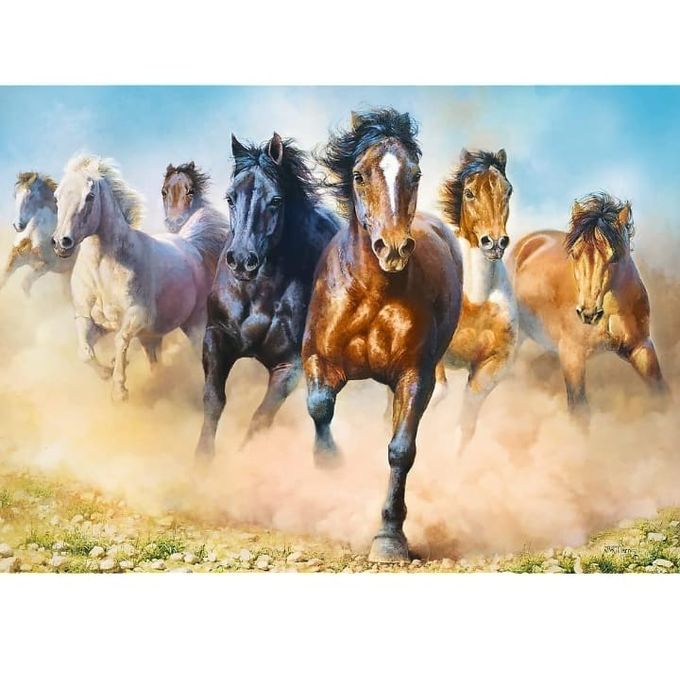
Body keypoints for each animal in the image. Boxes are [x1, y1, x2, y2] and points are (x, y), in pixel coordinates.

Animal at [51, 154, 227, 401]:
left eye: (90, 196)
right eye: (56, 197)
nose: (61, 242)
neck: (101, 271)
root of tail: (188, 242)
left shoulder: (136, 317)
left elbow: (120, 341)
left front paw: (119, 390)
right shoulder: (88, 318)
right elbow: (84, 352)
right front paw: (106, 372)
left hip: (195, 323)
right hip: (152, 337)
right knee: (156, 365)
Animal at [194, 132, 342, 460]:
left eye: (275, 200)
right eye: (230, 198)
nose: (241, 260)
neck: (256, 293)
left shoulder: (289, 366)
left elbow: (261, 417)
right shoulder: (216, 338)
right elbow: (213, 400)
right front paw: (202, 461)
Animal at [302, 108, 463, 563]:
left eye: (415, 174)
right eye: (359, 175)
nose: (392, 249)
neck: (373, 293)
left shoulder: (415, 376)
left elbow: (400, 449)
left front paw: (389, 538)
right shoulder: (318, 358)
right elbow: (319, 406)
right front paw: (329, 465)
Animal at [437, 148, 518, 452]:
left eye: (508, 191)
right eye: (469, 193)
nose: (494, 242)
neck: (476, 299)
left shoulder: (492, 365)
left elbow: (466, 423)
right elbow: (438, 391)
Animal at [508, 191, 669, 418]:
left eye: (613, 255)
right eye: (575, 253)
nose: (588, 314)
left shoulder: (641, 348)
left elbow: (662, 395)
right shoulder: (572, 356)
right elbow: (579, 410)